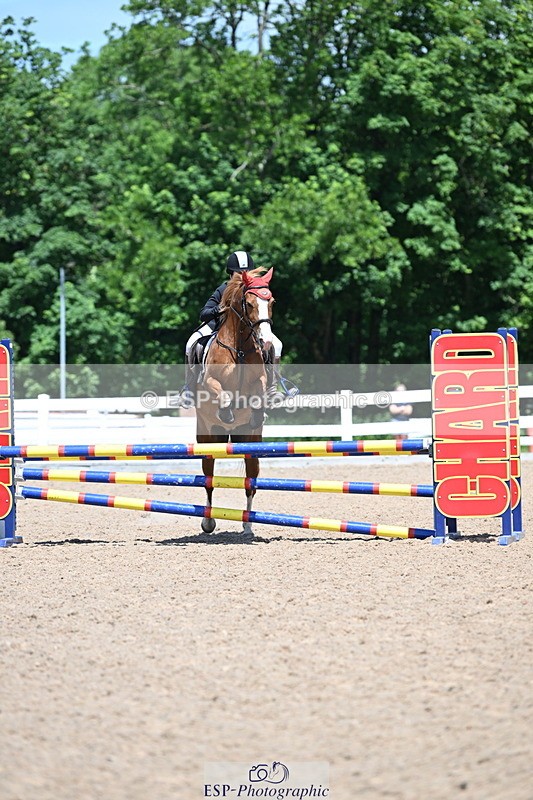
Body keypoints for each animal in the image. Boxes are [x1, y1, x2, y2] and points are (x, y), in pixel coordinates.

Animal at [193, 267, 275, 536]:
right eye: (249, 303)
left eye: (271, 302)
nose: (266, 341)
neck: (239, 348)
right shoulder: (210, 382)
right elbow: (223, 394)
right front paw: (227, 411)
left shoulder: (260, 379)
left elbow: (258, 392)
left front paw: (257, 413)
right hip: (208, 439)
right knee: (208, 480)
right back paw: (208, 522)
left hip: (250, 443)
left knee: (251, 482)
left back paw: (248, 524)